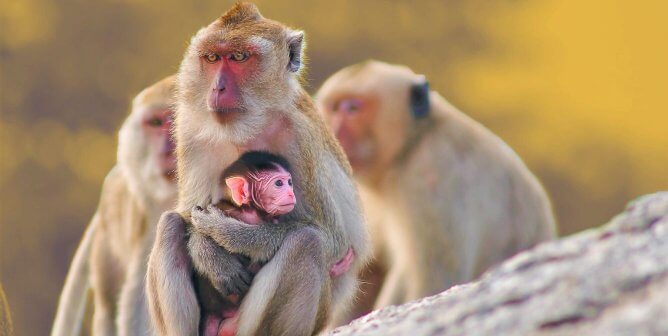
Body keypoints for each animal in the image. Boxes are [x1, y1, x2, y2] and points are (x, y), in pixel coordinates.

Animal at [145, 3, 370, 336]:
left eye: (239, 57)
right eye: (212, 58)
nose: (218, 87)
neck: (246, 127)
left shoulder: (299, 136)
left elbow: (334, 243)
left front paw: (230, 234)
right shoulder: (191, 133)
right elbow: (188, 213)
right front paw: (207, 250)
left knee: (307, 241)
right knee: (170, 224)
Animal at [316, 60, 556, 322]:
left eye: (351, 108)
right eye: (332, 109)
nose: (332, 131)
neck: (413, 143)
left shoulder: (432, 175)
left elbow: (435, 280)